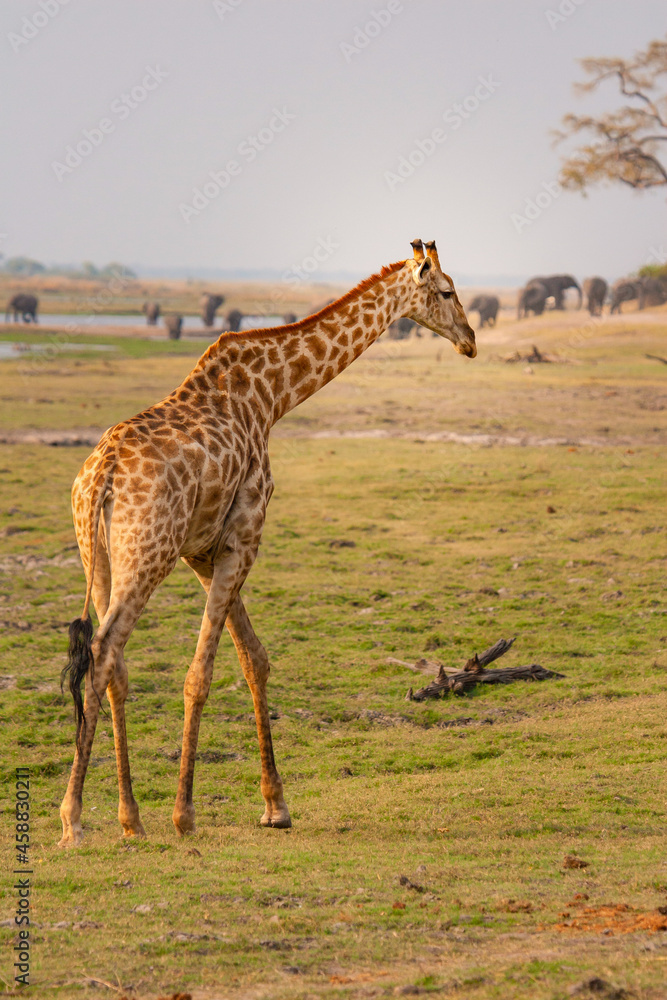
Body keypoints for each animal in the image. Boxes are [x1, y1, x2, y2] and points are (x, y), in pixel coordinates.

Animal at [57, 238, 474, 848]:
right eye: (446, 291)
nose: (470, 339)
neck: (272, 395)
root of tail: (101, 476)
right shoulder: (244, 535)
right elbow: (202, 674)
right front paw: (186, 814)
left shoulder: (205, 549)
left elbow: (253, 657)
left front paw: (275, 805)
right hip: (147, 554)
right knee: (106, 650)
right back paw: (74, 819)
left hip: (102, 555)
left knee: (114, 665)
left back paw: (128, 817)